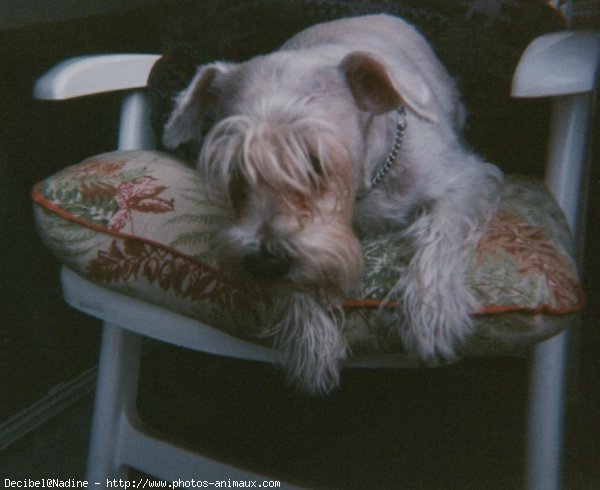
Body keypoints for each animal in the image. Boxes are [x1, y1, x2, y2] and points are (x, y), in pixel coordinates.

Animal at [163, 14, 502, 394]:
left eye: (314, 160)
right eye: (235, 168)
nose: (264, 263)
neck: (367, 183)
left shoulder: (465, 181)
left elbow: (438, 236)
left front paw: (432, 315)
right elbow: (300, 282)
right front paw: (311, 343)